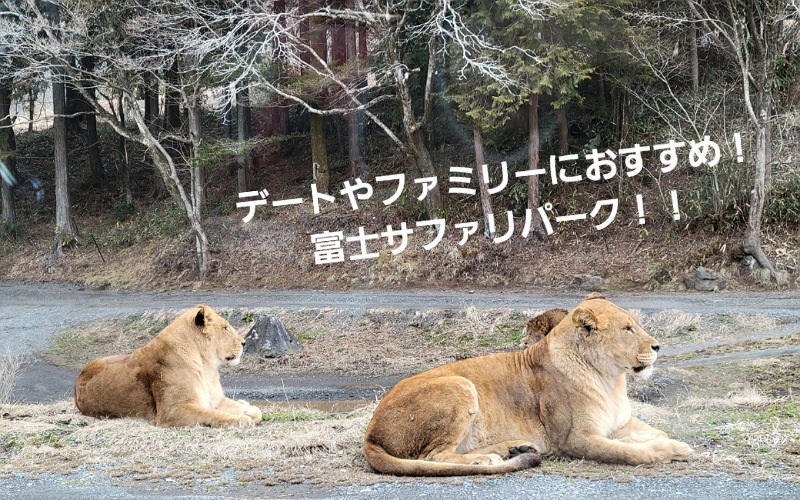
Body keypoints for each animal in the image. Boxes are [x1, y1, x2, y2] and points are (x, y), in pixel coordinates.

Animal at [75, 302, 262, 428]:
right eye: (225, 328)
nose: (244, 342)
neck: (206, 366)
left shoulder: (215, 398)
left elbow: (249, 410)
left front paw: (249, 411)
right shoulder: (172, 410)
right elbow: (211, 414)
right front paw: (239, 420)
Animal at [364, 292, 692, 476]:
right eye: (627, 329)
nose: (658, 346)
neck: (610, 379)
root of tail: (371, 432)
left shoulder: (619, 423)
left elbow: (651, 433)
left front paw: (656, 439)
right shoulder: (573, 440)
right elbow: (629, 452)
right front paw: (674, 449)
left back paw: (513, 449)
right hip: (460, 384)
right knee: (433, 456)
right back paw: (486, 459)